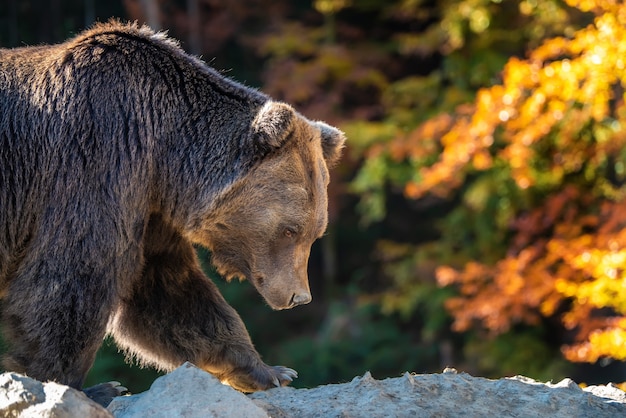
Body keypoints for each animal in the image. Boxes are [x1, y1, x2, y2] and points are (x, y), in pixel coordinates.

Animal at [0, 20, 344, 404]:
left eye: (315, 233)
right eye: (289, 230)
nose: (299, 297)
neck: (165, 147)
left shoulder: (150, 203)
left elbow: (165, 288)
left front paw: (270, 371)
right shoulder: (96, 154)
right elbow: (73, 271)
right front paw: (85, 386)